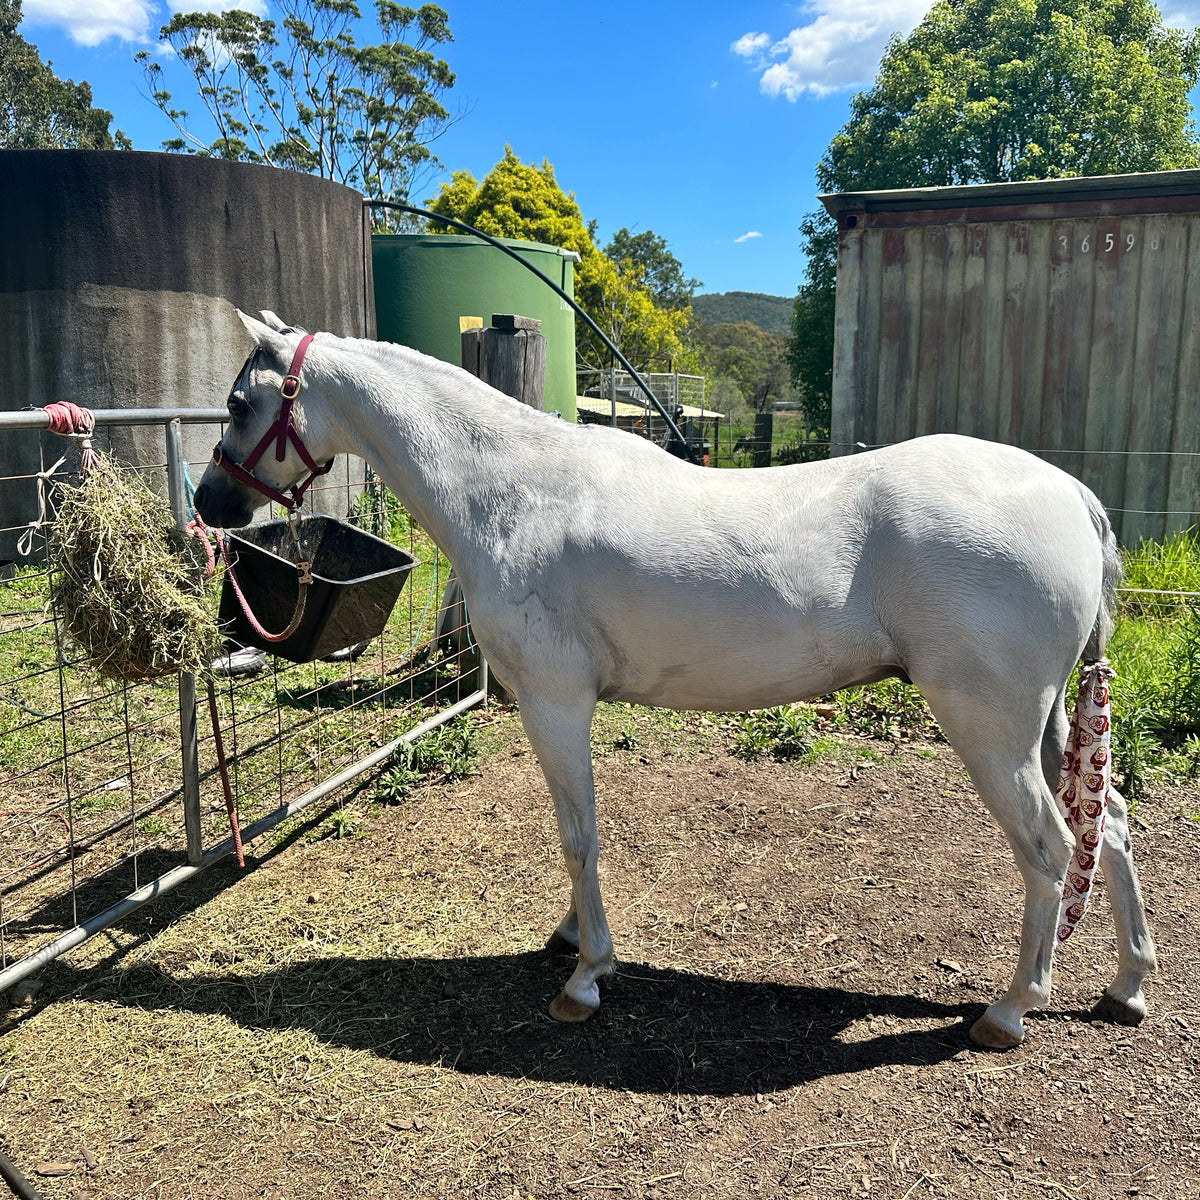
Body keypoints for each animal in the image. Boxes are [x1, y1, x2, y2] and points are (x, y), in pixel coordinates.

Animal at [193, 311, 1157, 1050]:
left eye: (241, 403)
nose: (209, 504)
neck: (512, 491)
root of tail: (1072, 496)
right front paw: (571, 938)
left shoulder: (554, 704)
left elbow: (578, 836)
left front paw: (587, 975)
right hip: (1042, 726)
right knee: (1107, 824)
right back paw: (1128, 987)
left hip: (990, 730)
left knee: (1052, 849)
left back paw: (1011, 1009)